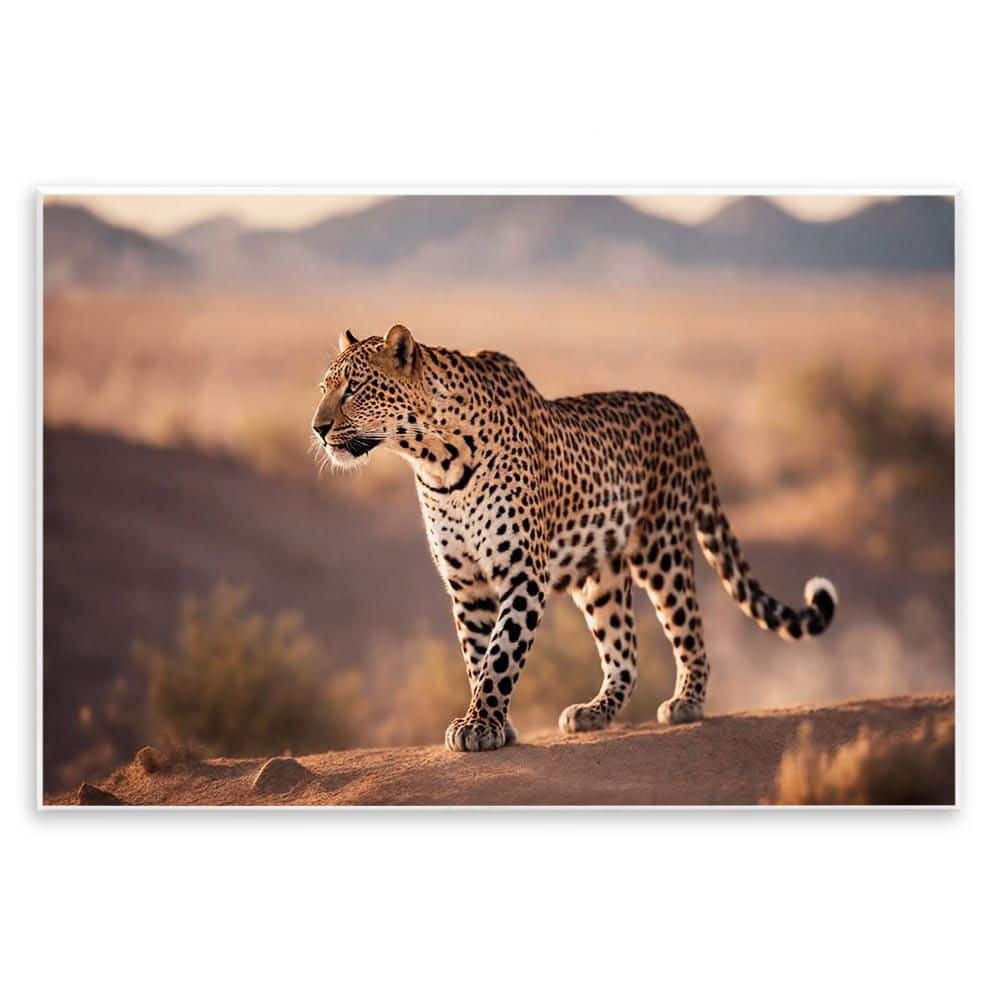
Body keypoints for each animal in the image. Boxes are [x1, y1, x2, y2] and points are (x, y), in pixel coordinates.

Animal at [312, 324, 838, 752]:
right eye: (324, 388)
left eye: (354, 388)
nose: (317, 428)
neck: (433, 459)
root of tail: (681, 412)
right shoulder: (468, 584)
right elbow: (477, 654)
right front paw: (493, 725)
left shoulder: (522, 574)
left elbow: (501, 655)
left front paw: (480, 726)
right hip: (601, 577)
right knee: (625, 652)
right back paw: (594, 712)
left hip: (662, 549)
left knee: (689, 627)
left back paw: (687, 703)